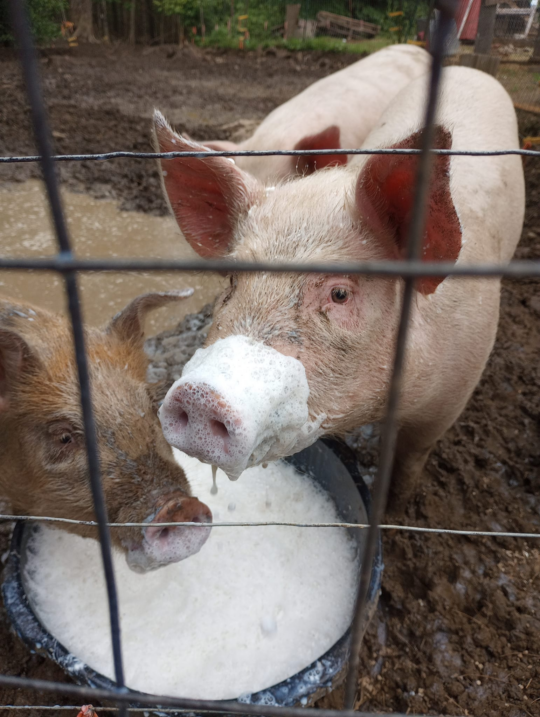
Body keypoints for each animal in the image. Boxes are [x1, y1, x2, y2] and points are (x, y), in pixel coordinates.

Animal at [153, 66, 525, 508]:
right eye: (232, 278)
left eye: (340, 293)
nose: (199, 396)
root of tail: (469, 69)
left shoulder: (449, 400)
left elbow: (408, 463)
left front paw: (393, 508)